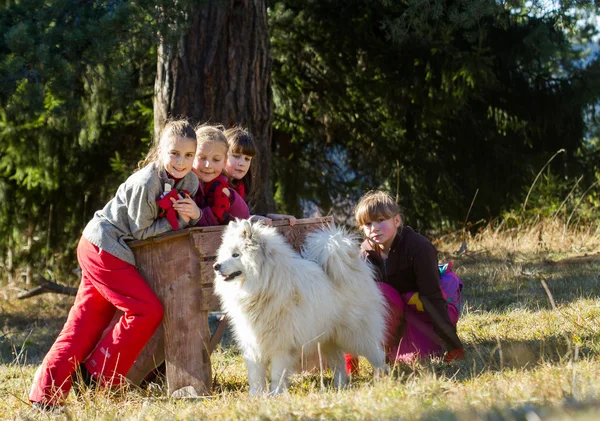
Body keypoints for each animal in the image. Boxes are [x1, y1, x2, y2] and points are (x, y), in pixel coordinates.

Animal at [213, 218, 386, 396]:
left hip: (356, 335)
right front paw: (256, 396)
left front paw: (275, 394)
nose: (216, 266)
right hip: (328, 339)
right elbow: (255, 376)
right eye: (226, 254)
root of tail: (353, 266)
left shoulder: (281, 345)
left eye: (236, 254)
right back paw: (339, 386)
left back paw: (383, 379)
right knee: (338, 363)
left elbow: (277, 374)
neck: (264, 284)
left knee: (377, 355)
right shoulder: (253, 343)